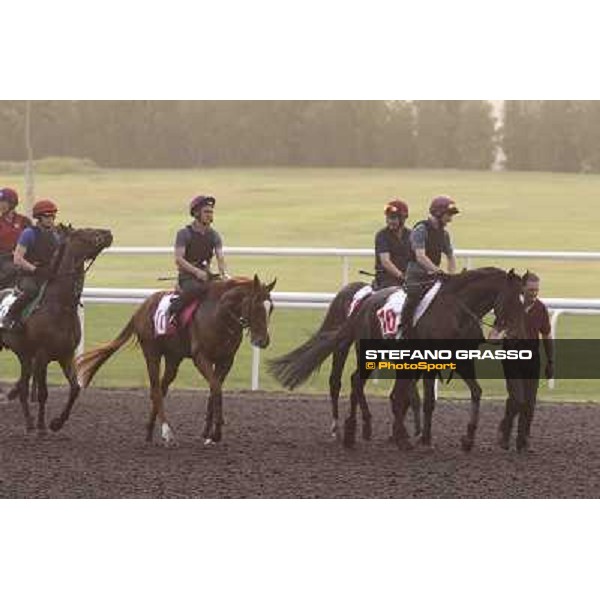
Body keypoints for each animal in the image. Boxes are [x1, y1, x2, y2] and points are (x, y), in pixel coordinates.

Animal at [0, 225, 113, 436]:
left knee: (23, 388)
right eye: (84, 232)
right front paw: (42, 427)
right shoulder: (42, 355)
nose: (108, 233)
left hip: (24, 355)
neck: (61, 306)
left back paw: (29, 423)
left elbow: (75, 388)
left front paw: (56, 423)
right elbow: (43, 393)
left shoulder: (66, 355)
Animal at [76, 274, 278, 442]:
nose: (263, 341)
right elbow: (216, 388)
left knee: (163, 388)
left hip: (173, 358)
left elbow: (214, 390)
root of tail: (141, 308)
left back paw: (149, 431)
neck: (220, 315)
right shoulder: (200, 357)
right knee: (156, 389)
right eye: (255, 305)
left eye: (271, 308)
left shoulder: (226, 360)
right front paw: (216, 432)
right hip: (152, 353)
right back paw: (166, 431)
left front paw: (207, 433)